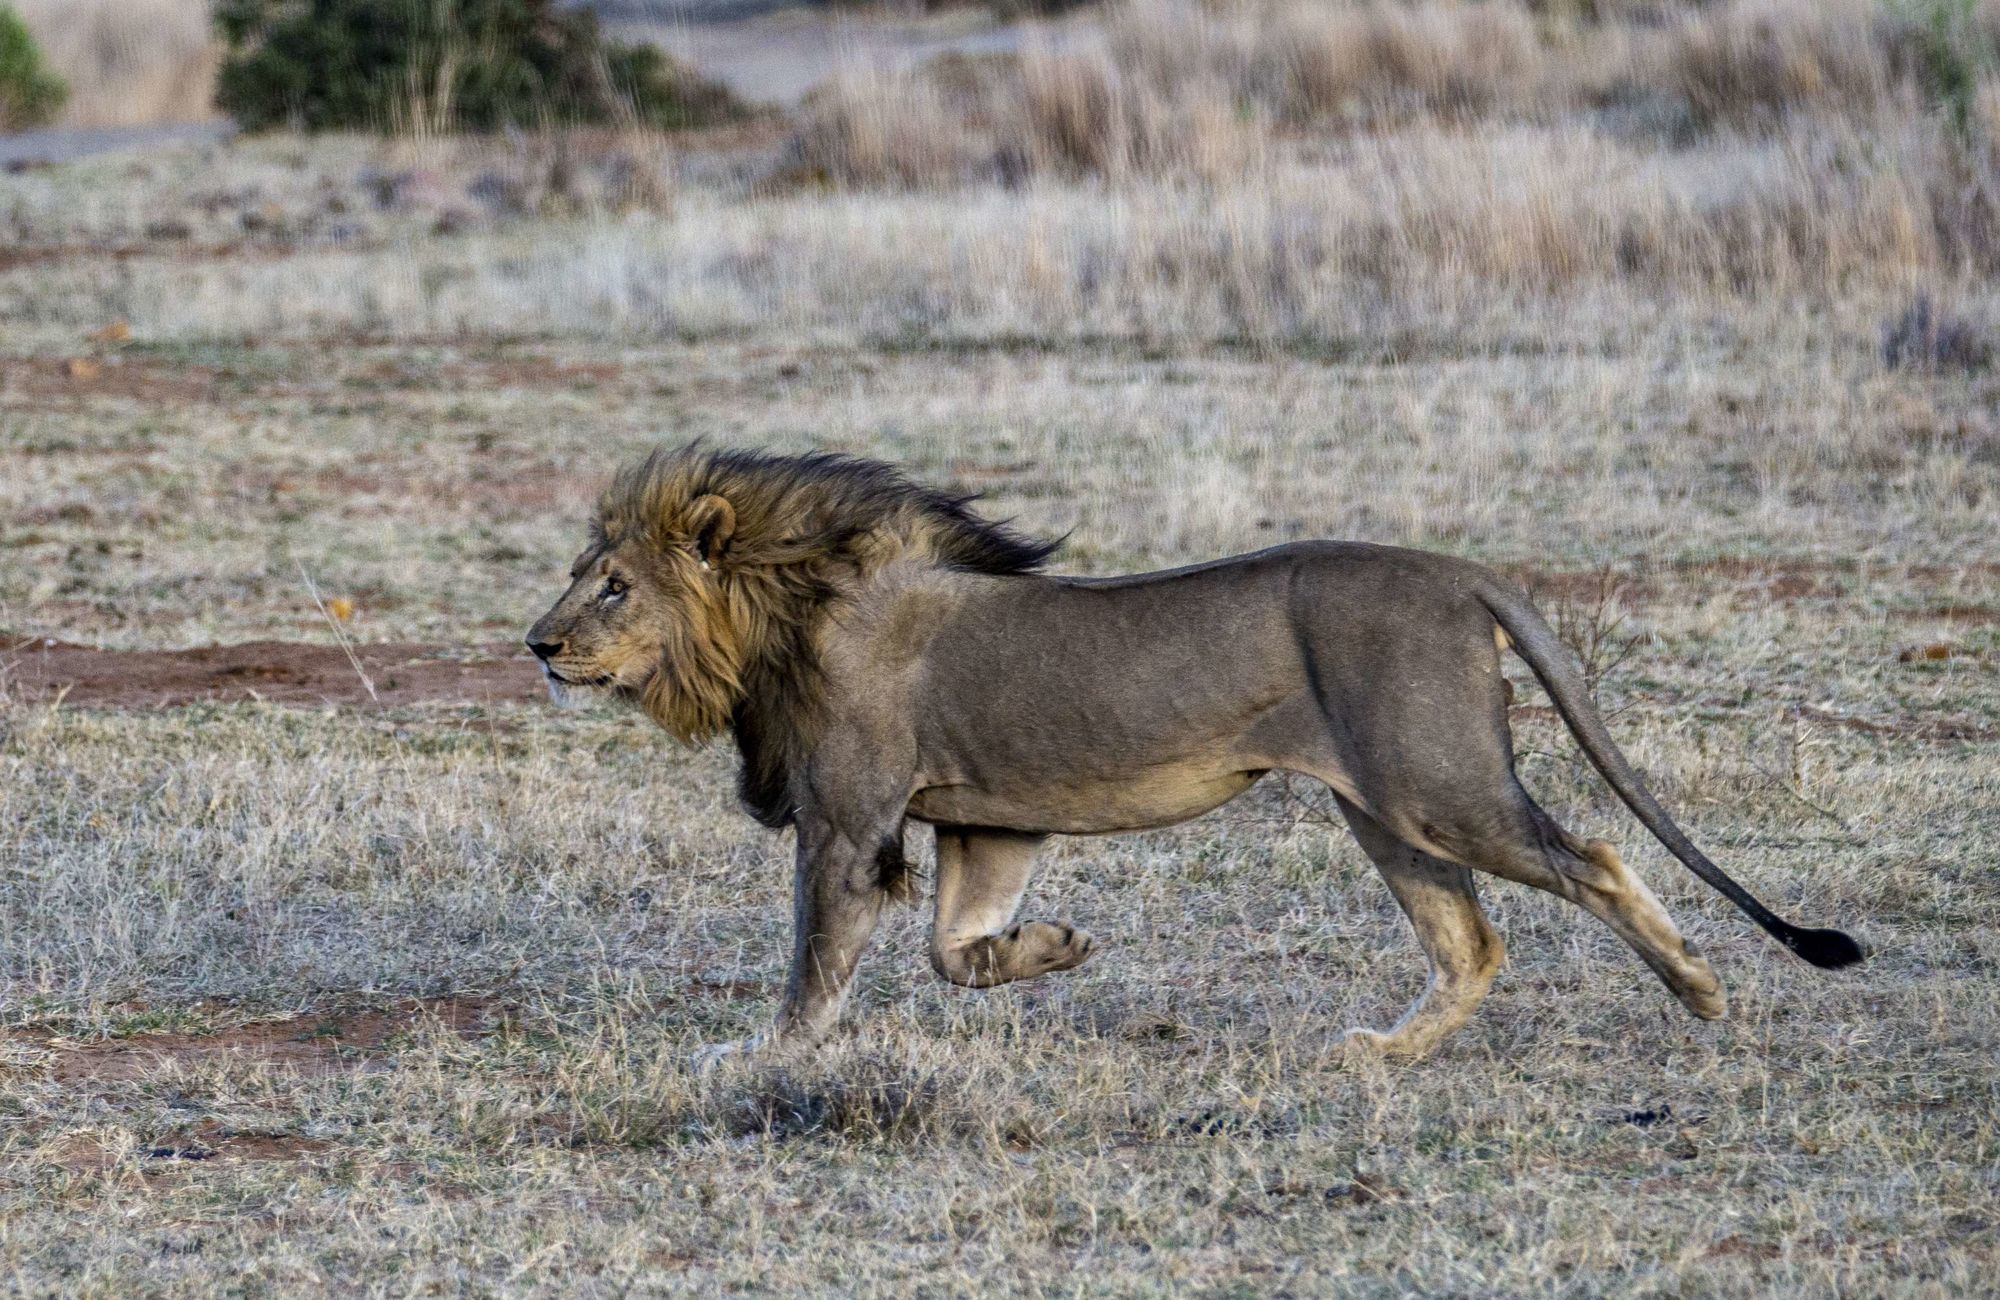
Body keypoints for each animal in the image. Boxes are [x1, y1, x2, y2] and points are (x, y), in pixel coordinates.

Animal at [528, 446, 1856, 1064]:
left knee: (1593, 858)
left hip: (1438, 787)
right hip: (1382, 809)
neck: (790, 609)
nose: (536, 644)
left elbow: (816, 960)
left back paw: (1699, 989)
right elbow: (955, 950)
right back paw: (1381, 1054)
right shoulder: (987, 821)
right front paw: (1050, 948)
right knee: (1471, 939)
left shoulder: (848, 821)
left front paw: (759, 1053)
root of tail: (1460, 572)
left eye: (612, 584)